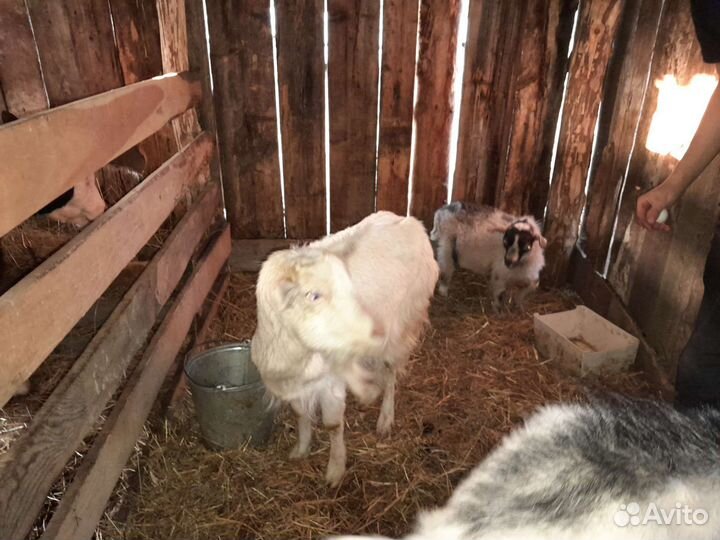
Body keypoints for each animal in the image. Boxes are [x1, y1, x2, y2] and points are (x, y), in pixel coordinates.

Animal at [252, 211, 438, 486]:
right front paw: (300, 450)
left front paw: (335, 469)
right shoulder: (294, 384)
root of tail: (409, 221)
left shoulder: (331, 382)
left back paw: (385, 418)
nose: (372, 329)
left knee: (391, 373)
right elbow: (300, 414)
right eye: (313, 296)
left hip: (402, 325)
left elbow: (332, 425)